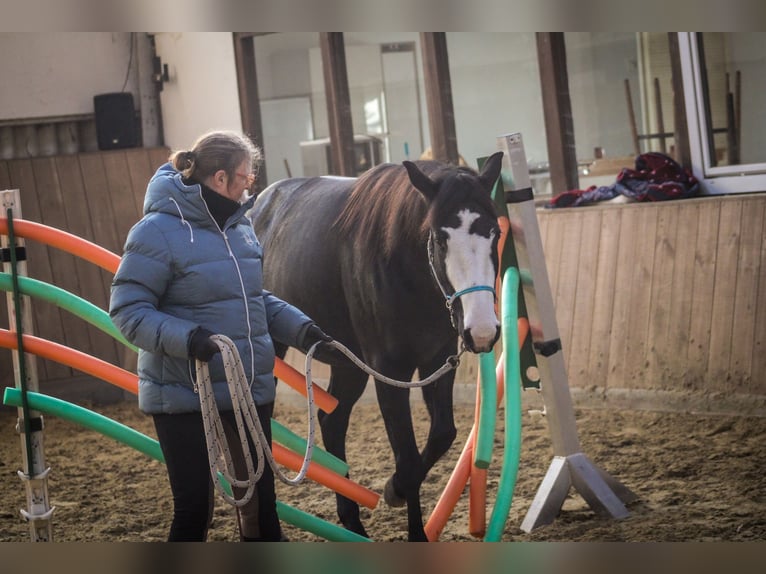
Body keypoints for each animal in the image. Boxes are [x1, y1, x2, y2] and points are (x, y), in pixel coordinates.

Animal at [249, 151, 504, 541]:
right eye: (440, 239)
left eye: (495, 232)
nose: (482, 330)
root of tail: (257, 206)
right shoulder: (389, 372)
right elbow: (408, 459)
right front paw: (407, 513)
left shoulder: (436, 362)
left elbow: (443, 433)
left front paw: (394, 490)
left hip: (348, 363)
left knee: (332, 421)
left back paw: (352, 520)